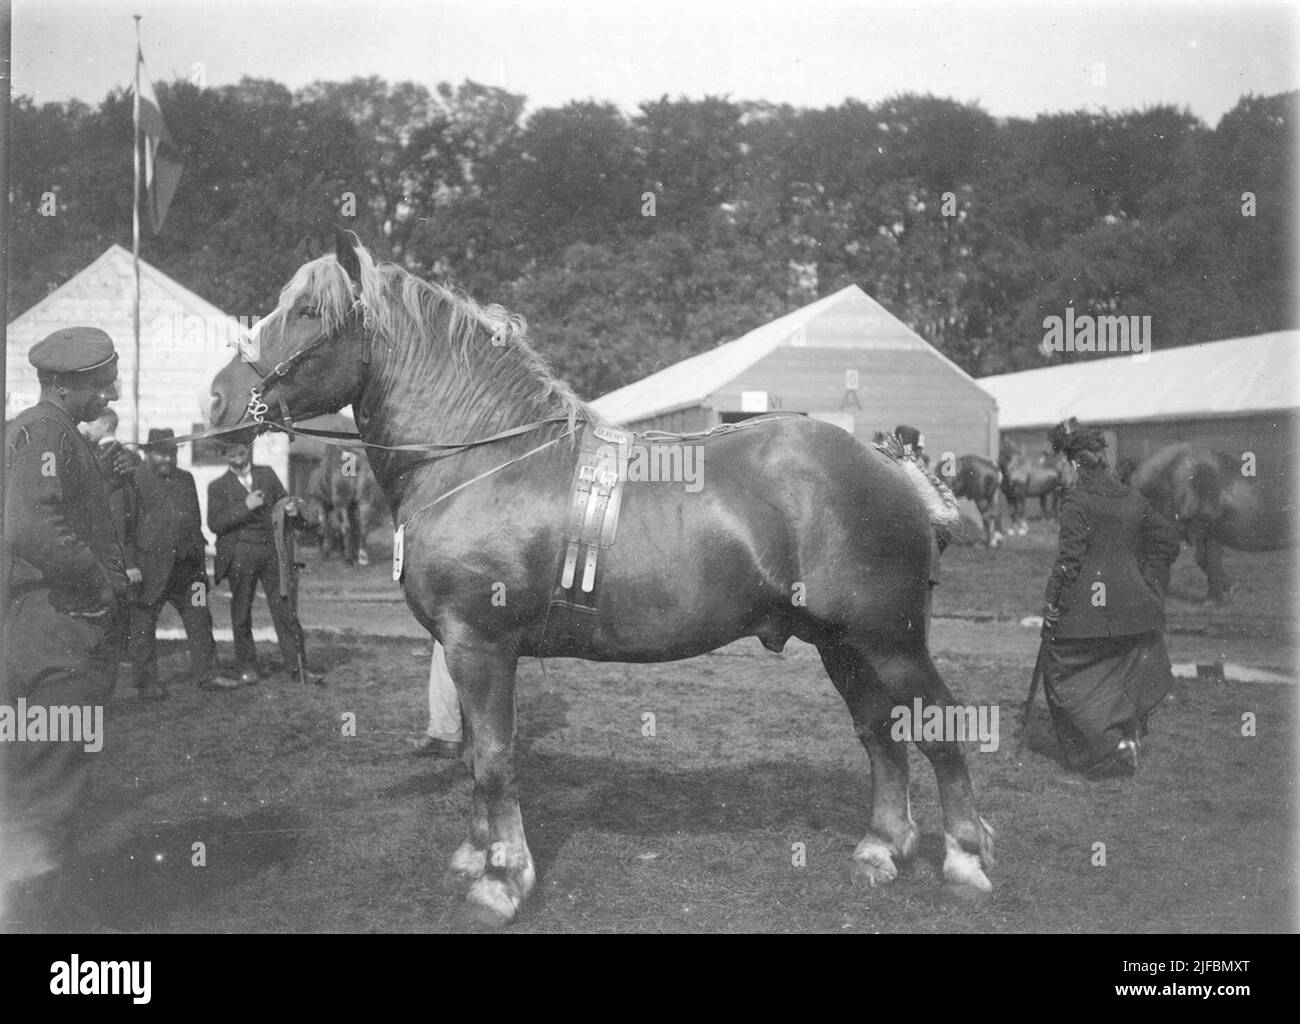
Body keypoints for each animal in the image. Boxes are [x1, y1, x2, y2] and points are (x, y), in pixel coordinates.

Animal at [207, 232, 994, 927]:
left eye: (309, 312)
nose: (217, 401)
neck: (479, 460)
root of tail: (888, 465)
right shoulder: (461, 651)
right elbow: (471, 753)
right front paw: (476, 855)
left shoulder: (479, 646)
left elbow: (493, 758)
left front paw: (502, 883)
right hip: (841, 645)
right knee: (879, 733)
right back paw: (881, 849)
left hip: (889, 641)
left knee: (938, 726)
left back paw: (963, 859)